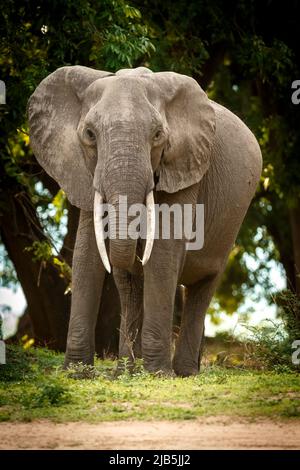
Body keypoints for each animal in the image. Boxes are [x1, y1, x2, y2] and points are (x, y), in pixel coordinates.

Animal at [28, 66, 262, 376]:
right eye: (89, 134)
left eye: (158, 134)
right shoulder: (84, 171)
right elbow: (86, 253)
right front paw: (77, 373)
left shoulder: (184, 167)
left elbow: (162, 254)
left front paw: (158, 374)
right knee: (139, 286)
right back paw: (132, 370)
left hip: (230, 225)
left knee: (204, 285)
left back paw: (183, 372)